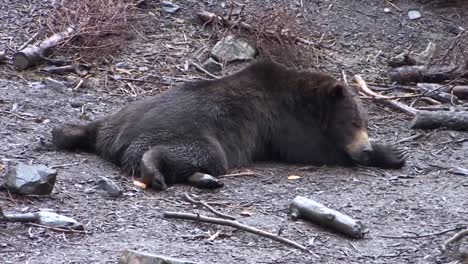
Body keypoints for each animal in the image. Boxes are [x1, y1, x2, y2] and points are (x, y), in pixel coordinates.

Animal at [50, 60, 402, 190]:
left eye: (364, 121)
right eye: (354, 121)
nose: (365, 148)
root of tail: (120, 139)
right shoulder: (282, 123)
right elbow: (314, 150)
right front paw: (391, 153)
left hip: (122, 113)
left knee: (94, 125)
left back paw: (62, 133)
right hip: (195, 132)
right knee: (197, 153)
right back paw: (157, 171)